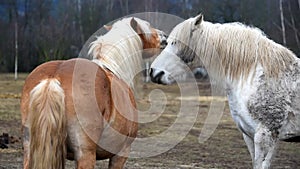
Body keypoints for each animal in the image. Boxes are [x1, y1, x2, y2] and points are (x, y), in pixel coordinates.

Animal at [20, 17, 163, 169]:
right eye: (148, 27)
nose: (164, 36)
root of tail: (53, 77)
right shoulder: (121, 154)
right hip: (85, 153)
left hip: (31, 149)